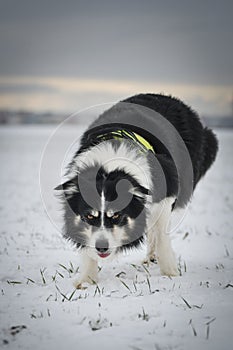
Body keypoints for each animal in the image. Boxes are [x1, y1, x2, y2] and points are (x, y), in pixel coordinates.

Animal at [55, 93, 218, 288]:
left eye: (117, 215)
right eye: (89, 216)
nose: (102, 247)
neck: (109, 167)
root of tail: (171, 98)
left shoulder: (166, 193)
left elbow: (162, 234)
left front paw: (170, 272)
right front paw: (87, 280)